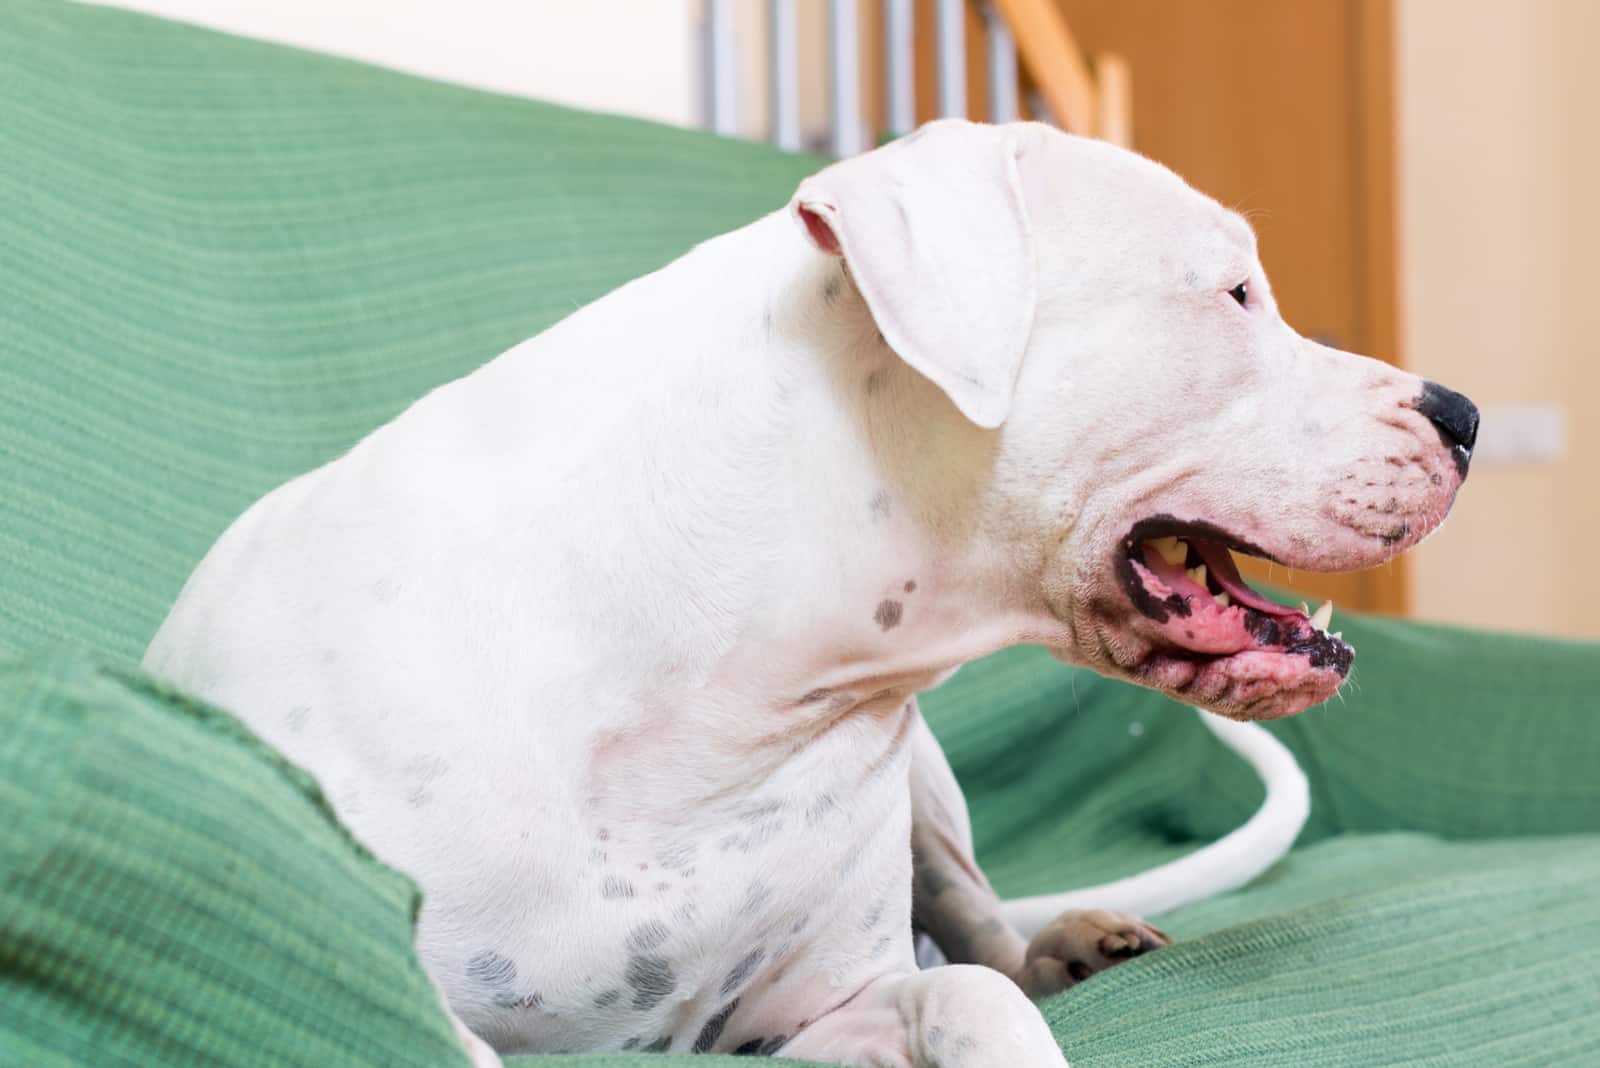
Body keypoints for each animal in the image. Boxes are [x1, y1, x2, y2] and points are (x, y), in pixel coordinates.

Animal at [144, 120, 1478, 1061]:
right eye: (1235, 293)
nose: (1463, 414)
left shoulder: (824, 1014)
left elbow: (970, 996)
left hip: (930, 797)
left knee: (984, 935)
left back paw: (1070, 944)